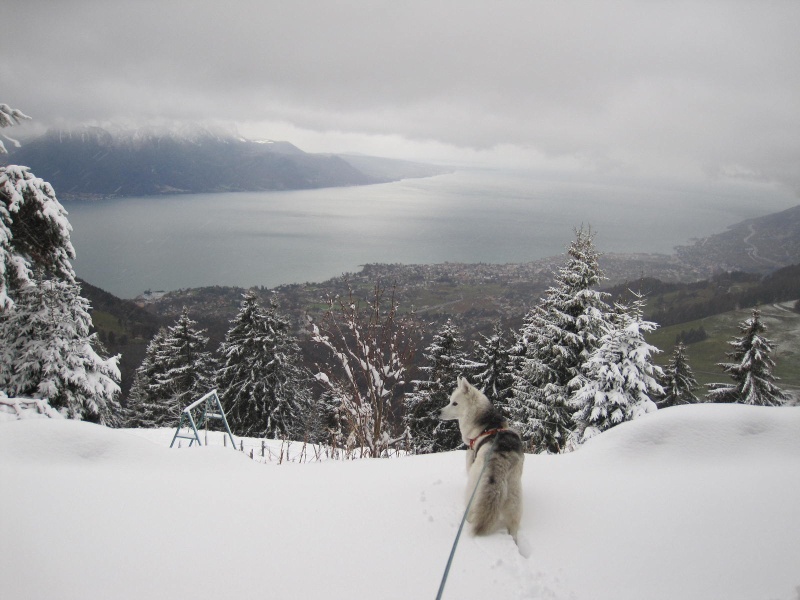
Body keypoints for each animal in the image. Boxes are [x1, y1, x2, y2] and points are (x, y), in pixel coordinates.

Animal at [438, 378, 524, 540]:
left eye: (455, 403)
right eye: (450, 401)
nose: (438, 412)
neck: (487, 425)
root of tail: (500, 458)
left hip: (474, 486)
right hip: (514, 496)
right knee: (514, 523)